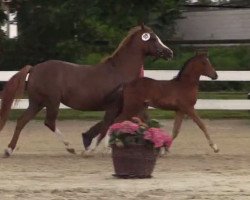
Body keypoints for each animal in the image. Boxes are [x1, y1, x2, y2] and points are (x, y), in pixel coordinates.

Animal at [0, 24, 173, 156]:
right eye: (152, 38)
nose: (169, 52)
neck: (120, 71)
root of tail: (34, 68)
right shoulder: (114, 106)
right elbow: (107, 125)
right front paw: (93, 149)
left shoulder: (126, 107)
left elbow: (122, 123)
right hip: (51, 101)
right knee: (49, 122)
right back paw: (70, 147)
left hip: (37, 102)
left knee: (22, 121)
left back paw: (9, 150)